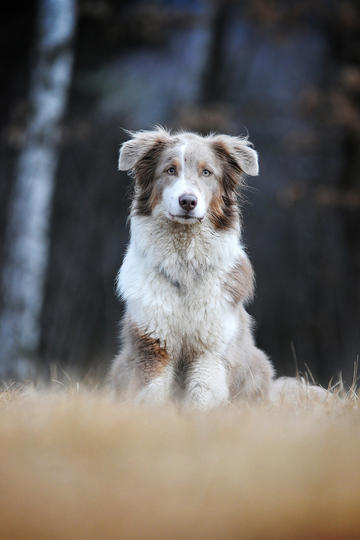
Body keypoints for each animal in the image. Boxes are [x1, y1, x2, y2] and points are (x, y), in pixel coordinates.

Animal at [108, 126, 280, 408]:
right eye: (170, 170)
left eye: (206, 172)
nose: (188, 201)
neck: (184, 268)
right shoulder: (153, 345)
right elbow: (152, 394)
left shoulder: (211, 350)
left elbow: (202, 394)